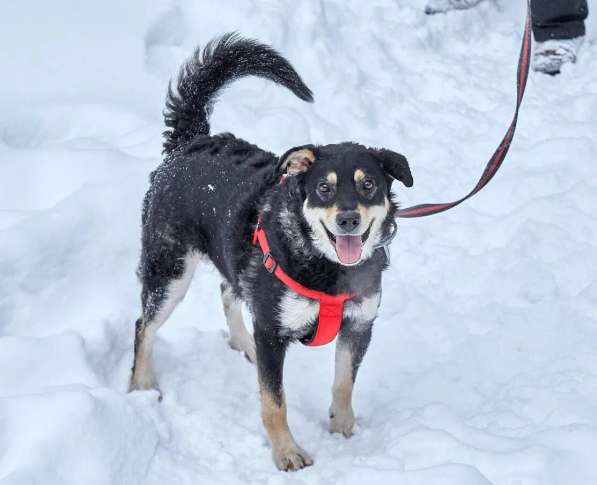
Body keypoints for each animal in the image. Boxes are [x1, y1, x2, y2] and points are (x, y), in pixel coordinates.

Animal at [128, 33, 412, 468]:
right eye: (323, 188)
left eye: (369, 185)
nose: (348, 220)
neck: (325, 266)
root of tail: (190, 140)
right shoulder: (274, 334)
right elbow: (274, 402)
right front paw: (287, 453)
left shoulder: (359, 325)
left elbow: (344, 383)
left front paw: (343, 428)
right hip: (169, 269)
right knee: (144, 325)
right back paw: (142, 385)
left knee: (229, 290)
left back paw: (242, 343)